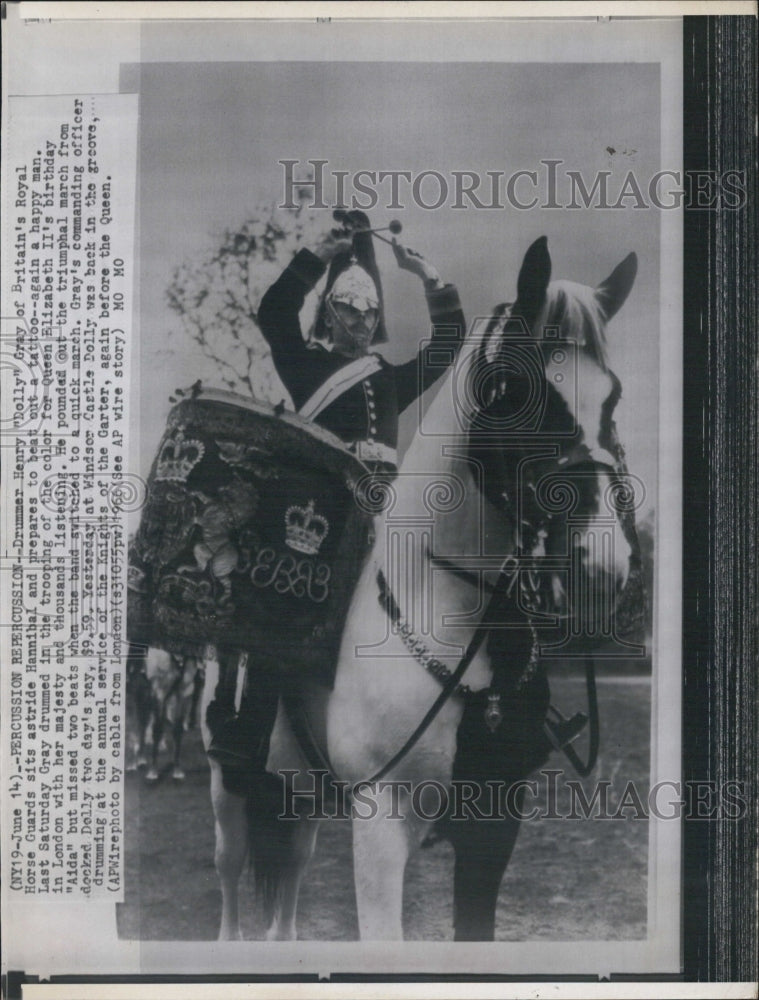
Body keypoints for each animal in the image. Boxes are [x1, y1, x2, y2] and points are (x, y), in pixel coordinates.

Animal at [200, 238, 640, 940]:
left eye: (613, 397)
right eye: (515, 391)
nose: (599, 566)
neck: (450, 619)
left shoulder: (494, 823)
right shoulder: (381, 819)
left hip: (303, 795)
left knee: (290, 878)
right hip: (229, 786)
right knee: (231, 879)